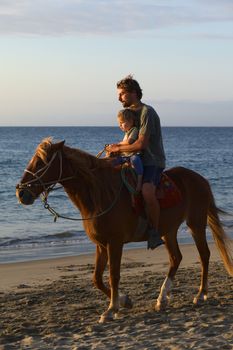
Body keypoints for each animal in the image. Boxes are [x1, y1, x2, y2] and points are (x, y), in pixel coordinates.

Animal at [16, 137, 233, 322]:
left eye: (41, 163)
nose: (21, 192)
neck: (100, 195)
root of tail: (201, 179)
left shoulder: (115, 242)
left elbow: (114, 274)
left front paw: (111, 310)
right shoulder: (101, 245)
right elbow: (96, 278)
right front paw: (124, 301)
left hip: (195, 224)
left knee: (204, 255)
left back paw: (201, 294)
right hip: (169, 230)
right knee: (176, 258)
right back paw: (162, 298)